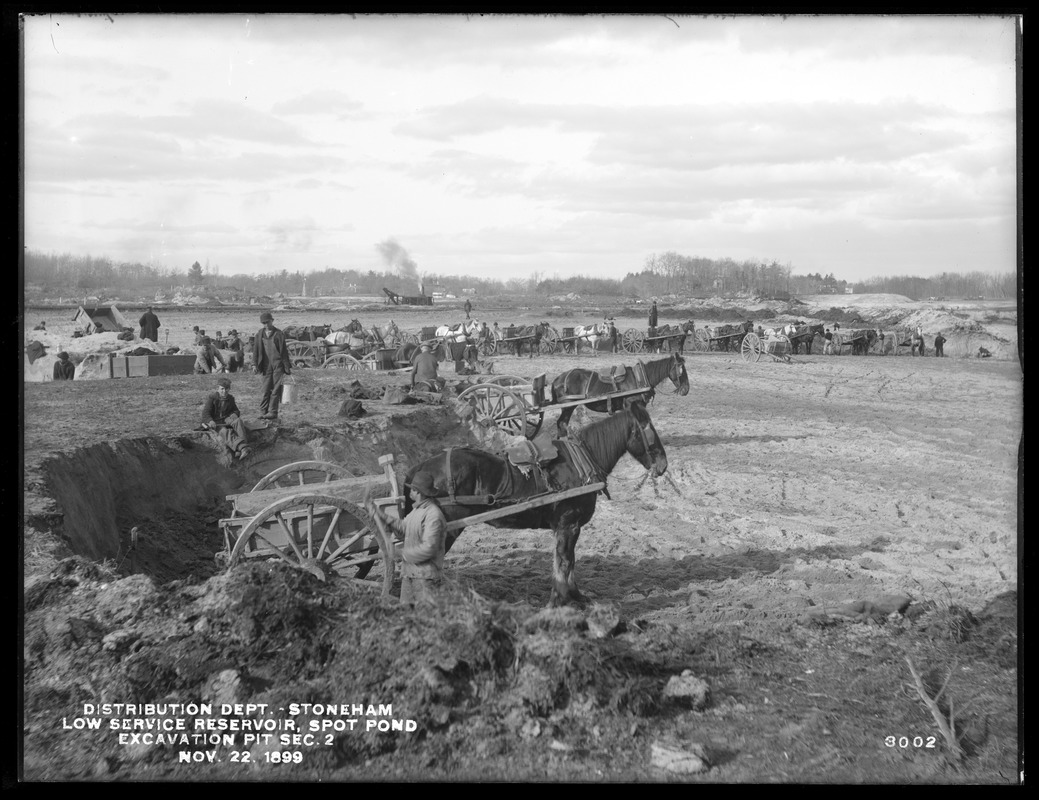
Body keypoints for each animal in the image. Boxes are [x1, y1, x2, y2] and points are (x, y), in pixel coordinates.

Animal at [401, 398, 669, 606]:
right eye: (648, 430)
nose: (663, 465)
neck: (581, 461)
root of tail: (422, 466)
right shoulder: (569, 525)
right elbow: (565, 561)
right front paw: (558, 600)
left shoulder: (568, 528)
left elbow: (568, 561)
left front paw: (575, 595)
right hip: (445, 529)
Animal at [552, 351, 689, 432]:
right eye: (681, 369)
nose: (686, 389)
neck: (639, 379)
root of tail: (559, 378)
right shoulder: (630, 405)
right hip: (568, 406)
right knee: (561, 423)